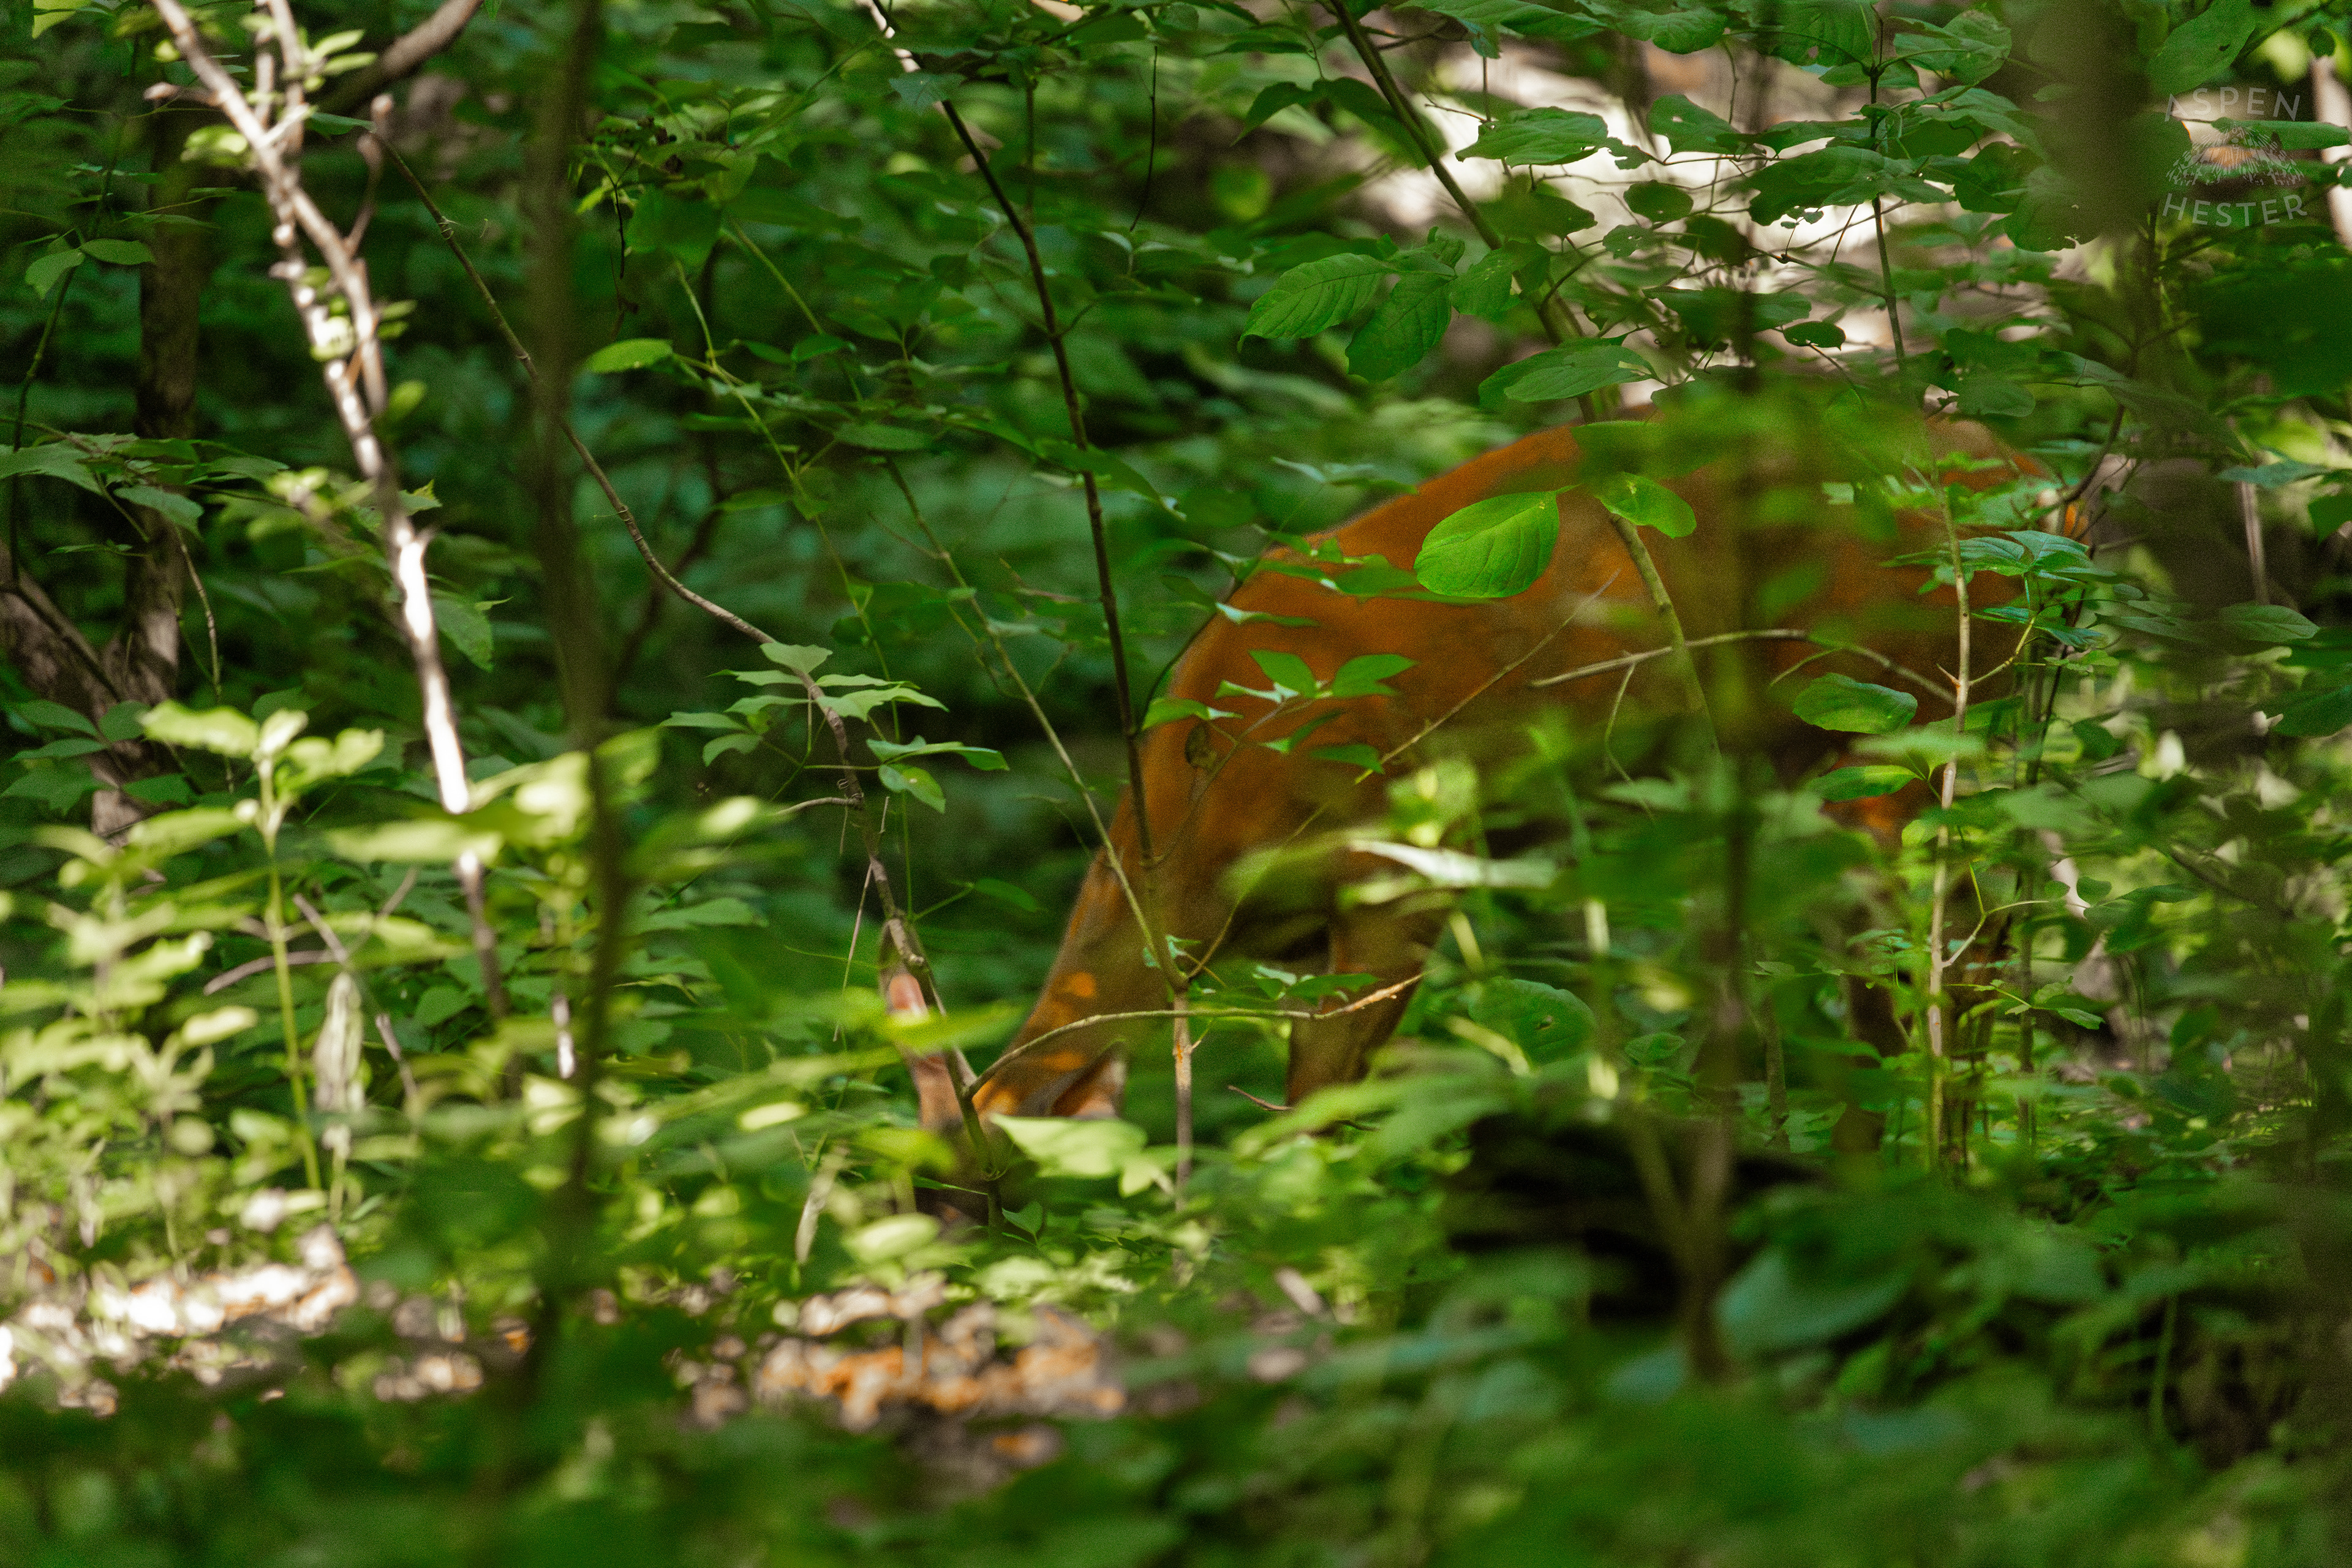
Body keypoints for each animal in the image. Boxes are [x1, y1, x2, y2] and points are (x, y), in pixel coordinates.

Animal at [904, 390, 2057, 1147]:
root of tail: (2035, 484)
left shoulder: (1402, 856)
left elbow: (1324, 1090)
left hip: (1885, 724)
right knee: (1932, 966)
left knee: (1941, 965)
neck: (1196, 825)